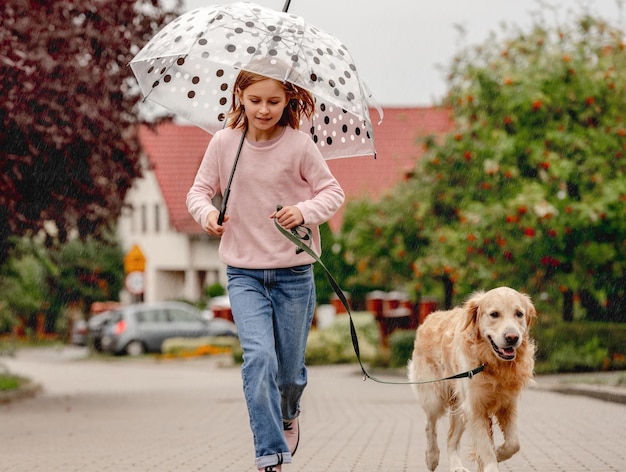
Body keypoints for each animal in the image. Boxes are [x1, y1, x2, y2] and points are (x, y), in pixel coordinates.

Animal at [408, 286, 532, 470]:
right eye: (494, 314)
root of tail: (430, 317)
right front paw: (492, 462)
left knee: (451, 439)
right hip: (434, 397)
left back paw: (456, 466)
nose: (512, 337)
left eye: (519, 314)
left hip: (459, 407)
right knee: (429, 425)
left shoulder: (508, 404)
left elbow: (513, 443)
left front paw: (499, 452)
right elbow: (485, 448)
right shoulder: (474, 408)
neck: (490, 363)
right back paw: (431, 457)